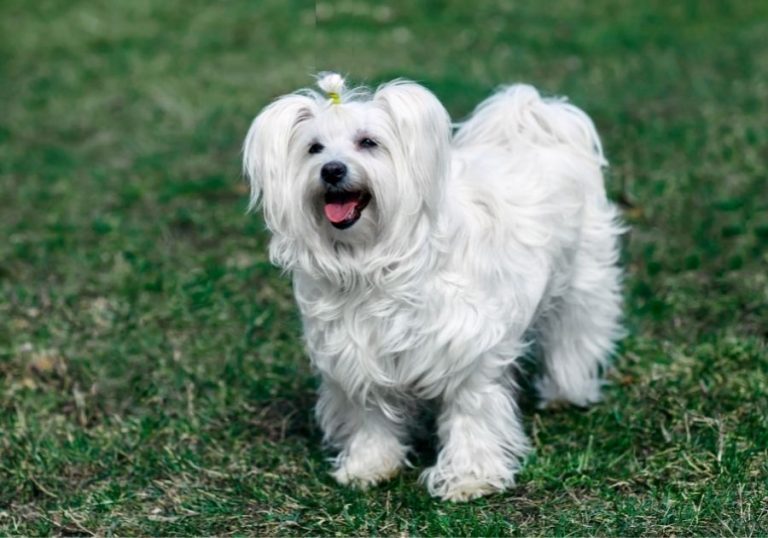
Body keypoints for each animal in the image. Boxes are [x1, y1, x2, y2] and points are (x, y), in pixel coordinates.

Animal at [246, 73, 624, 500]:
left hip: (582, 282)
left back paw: (566, 393)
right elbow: (369, 414)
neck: (374, 259)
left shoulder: (469, 347)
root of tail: (539, 122)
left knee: (574, 337)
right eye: (314, 148)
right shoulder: (357, 353)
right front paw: (369, 464)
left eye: (368, 142)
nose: (331, 170)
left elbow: (471, 413)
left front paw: (469, 477)